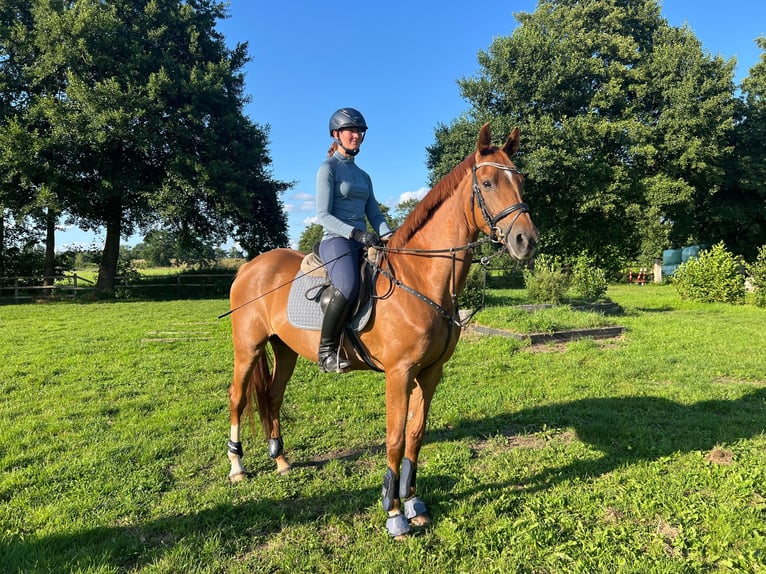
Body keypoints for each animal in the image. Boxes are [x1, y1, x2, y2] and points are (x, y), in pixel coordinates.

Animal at [226, 121, 540, 540]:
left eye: (520, 181)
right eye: (487, 183)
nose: (527, 240)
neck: (420, 279)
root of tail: (249, 266)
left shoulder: (431, 373)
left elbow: (415, 436)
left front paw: (413, 504)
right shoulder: (399, 374)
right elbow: (394, 438)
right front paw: (394, 515)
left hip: (285, 349)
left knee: (272, 398)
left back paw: (281, 461)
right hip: (248, 348)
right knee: (238, 398)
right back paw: (237, 468)